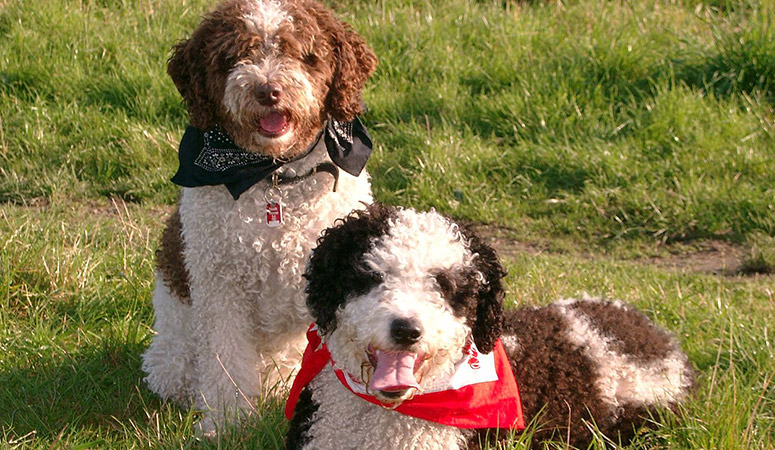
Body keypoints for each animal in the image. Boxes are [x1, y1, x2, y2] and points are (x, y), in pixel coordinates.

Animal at [143, 0, 378, 436]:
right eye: (233, 58)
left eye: (303, 54)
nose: (268, 90)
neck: (271, 176)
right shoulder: (220, 289)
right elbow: (226, 362)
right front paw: (226, 422)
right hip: (172, 361)